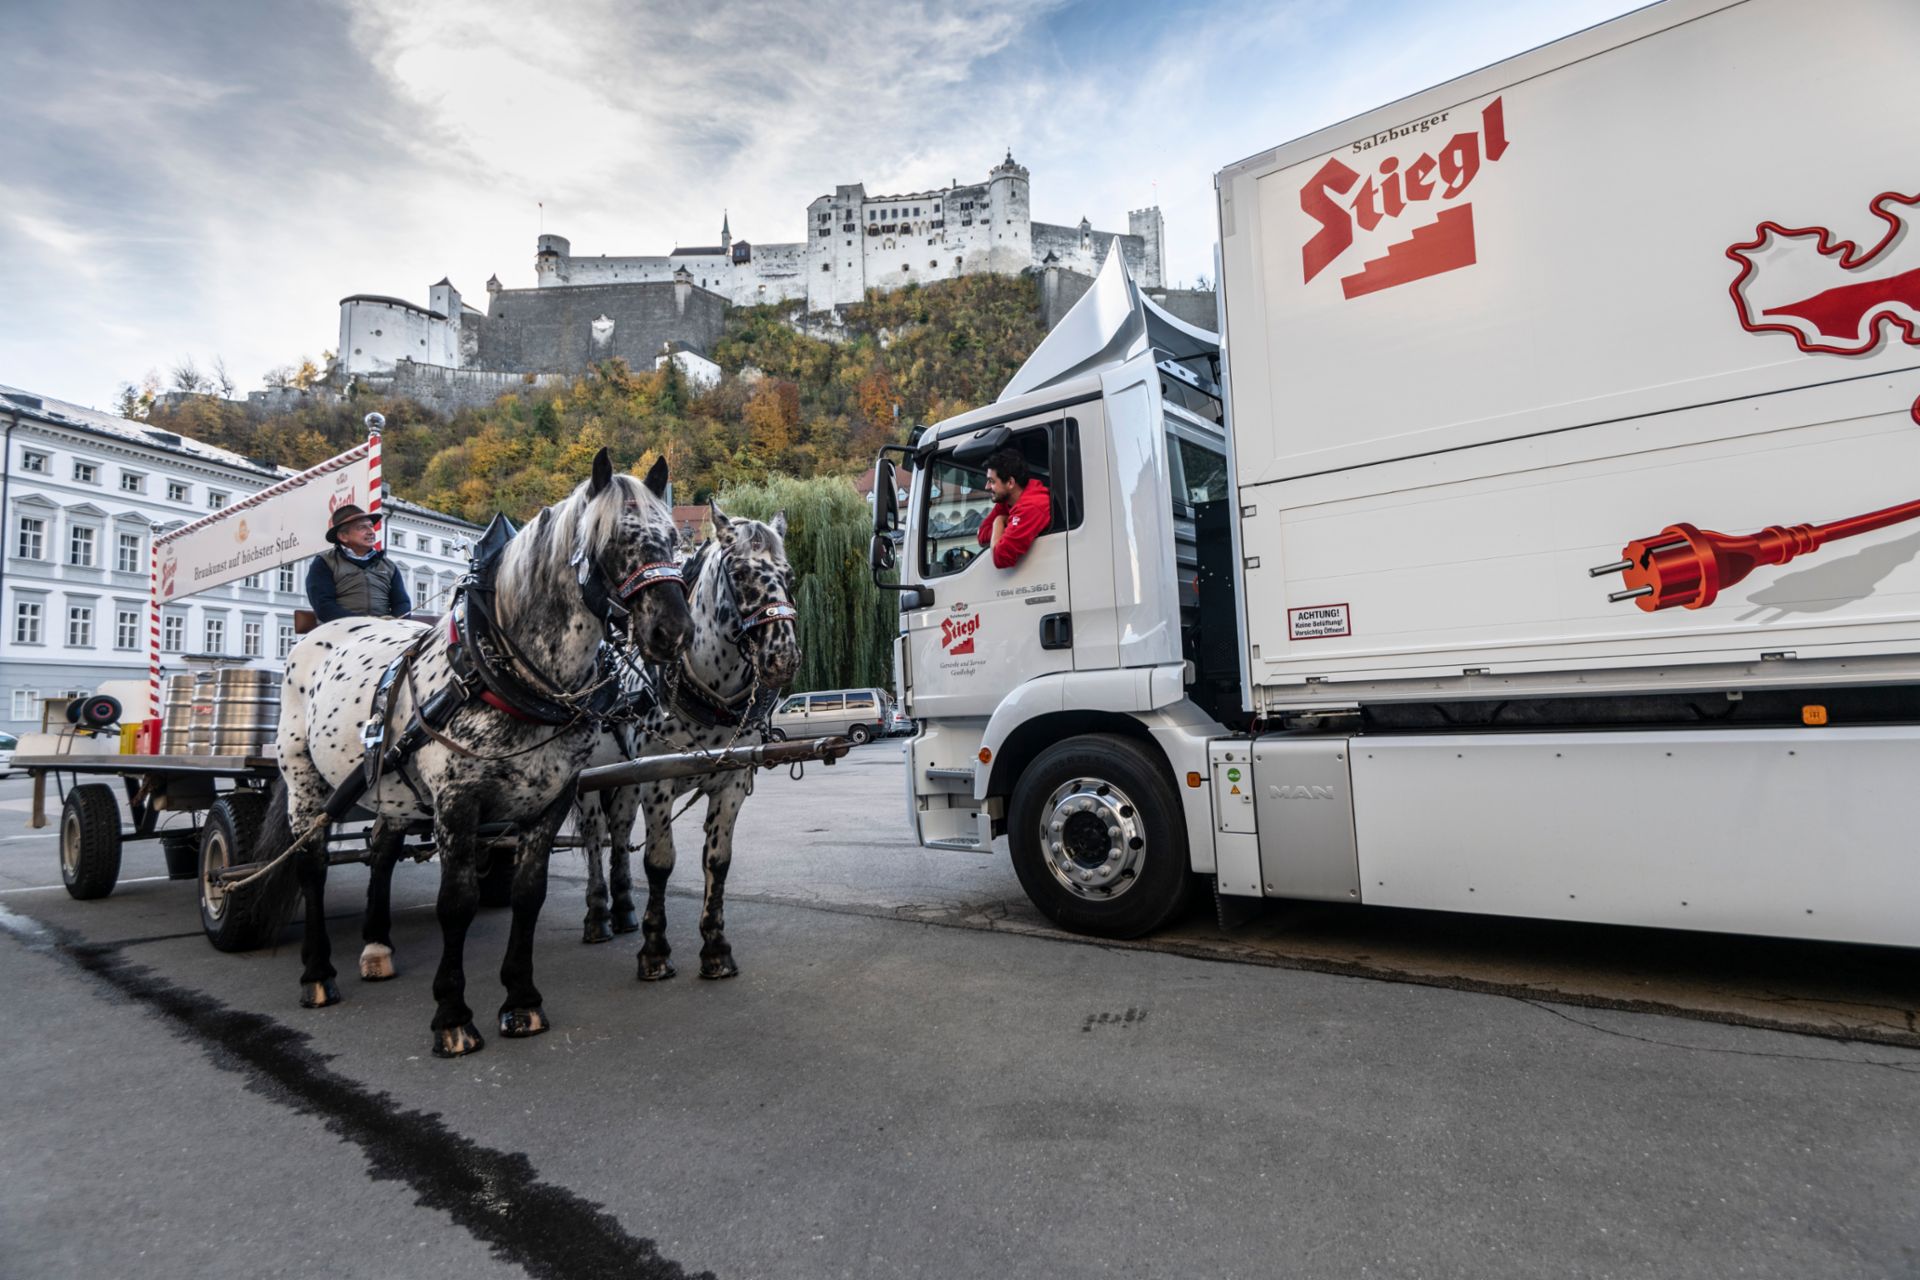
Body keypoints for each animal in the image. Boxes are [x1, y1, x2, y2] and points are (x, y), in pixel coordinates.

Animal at [270, 454, 691, 1059]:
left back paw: (376, 946)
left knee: (380, 855)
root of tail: (315, 635)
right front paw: (452, 1015)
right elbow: (457, 902)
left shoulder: (550, 800)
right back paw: (318, 974)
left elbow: (528, 895)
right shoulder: (457, 803)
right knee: (312, 864)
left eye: (675, 540)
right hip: (306, 782)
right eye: (615, 540)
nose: (672, 631)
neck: (505, 672)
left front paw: (521, 1000)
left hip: (389, 789)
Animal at [576, 502, 802, 982]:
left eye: (788, 574)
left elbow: (717, 861)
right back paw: (598, 915)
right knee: (594, 835)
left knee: (618, 831)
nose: (782, 658)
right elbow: (660, 861)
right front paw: (655, 951)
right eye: (739, 572)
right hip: (588, 777)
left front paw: (715, 948)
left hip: (624, 781)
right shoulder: (657, 782)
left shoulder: (731, 782)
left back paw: (623, 909)